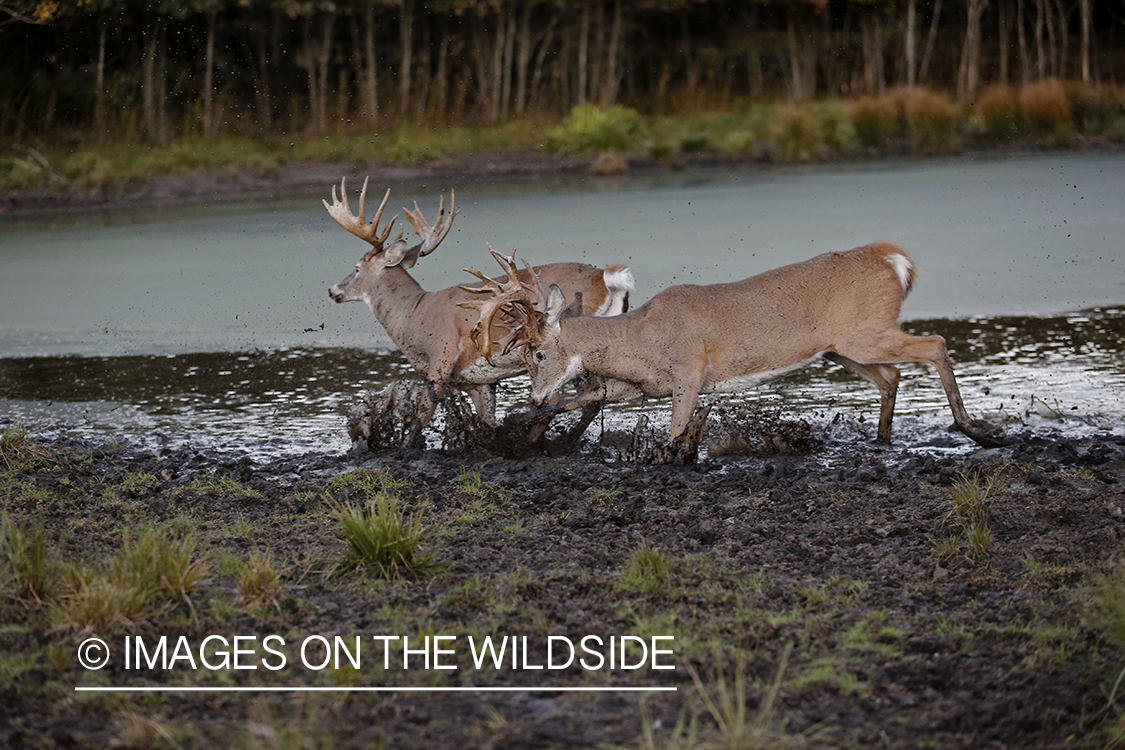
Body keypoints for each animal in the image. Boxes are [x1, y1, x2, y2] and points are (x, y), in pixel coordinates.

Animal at [324, 176, 634, 445]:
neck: (412, 315)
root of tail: (604, 278)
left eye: (356, 268)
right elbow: (487, 421)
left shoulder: (441, 356)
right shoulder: (477, 381)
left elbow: (420, 418)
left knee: (572, 396)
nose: (332, 290)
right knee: (595, 394)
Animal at [470, 244, 1008, 461]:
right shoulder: (634, 386)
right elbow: (580, 399)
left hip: (865, 331)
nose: (534, 396)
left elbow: (675, 433)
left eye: (538, 355)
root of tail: (893, 259)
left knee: (935, 345)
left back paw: (977, 432)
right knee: (892, 375)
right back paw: (882, 440)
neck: (639, 339)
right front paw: (521, 431)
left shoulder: (690, 367)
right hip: (841, 347)